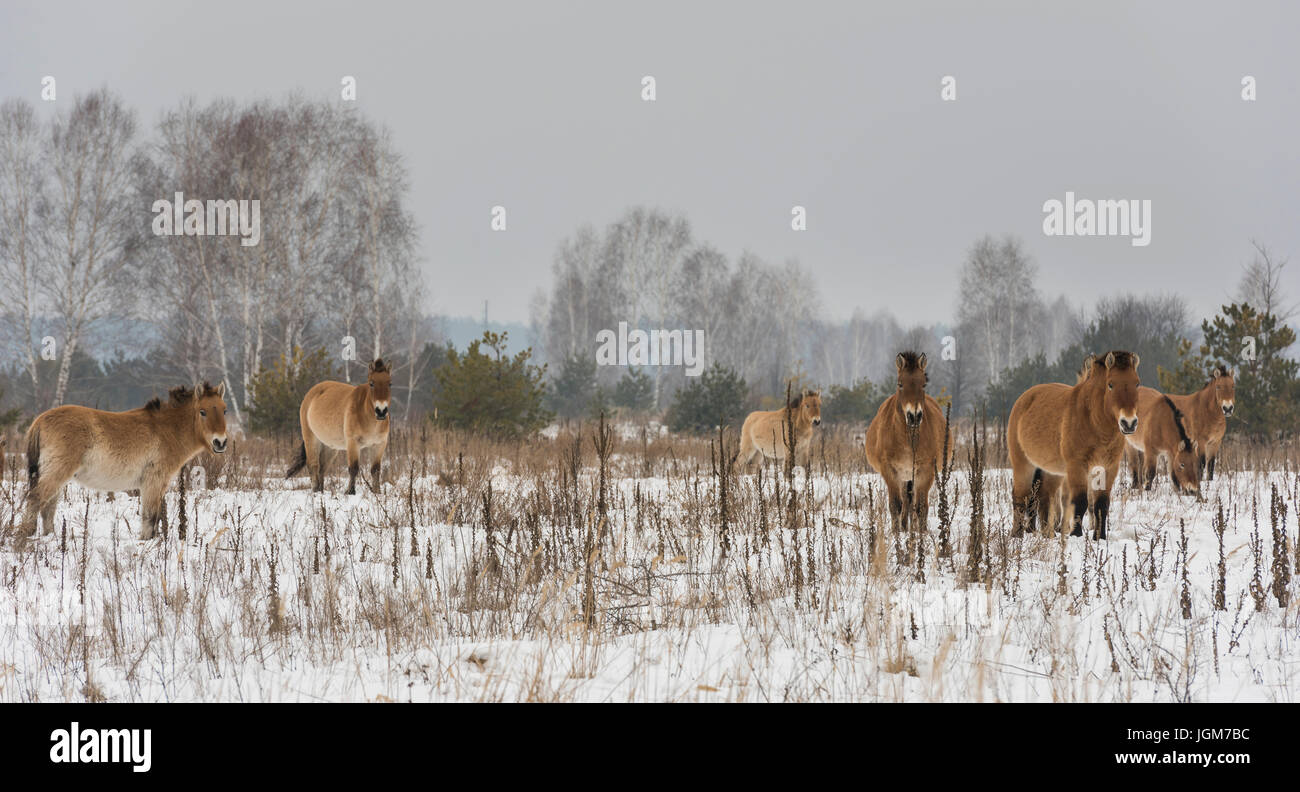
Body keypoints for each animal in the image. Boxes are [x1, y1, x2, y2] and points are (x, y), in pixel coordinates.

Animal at [18, 383, 228, 542]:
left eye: (224, 410)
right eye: (202, 412)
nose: (220, 442)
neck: (167, 430)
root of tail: (40, 419)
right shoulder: (153, 482)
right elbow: (150, 518)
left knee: (47, 508)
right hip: (57, 473)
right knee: (35, 498)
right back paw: (25, 534)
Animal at [285, 358, 392, 494]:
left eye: (390, 384)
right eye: (371, 383)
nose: (381, 411)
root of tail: (310, 393)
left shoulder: (379, 445)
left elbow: (375, 470)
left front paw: (377, 492)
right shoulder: (353, 443)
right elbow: (353, 468)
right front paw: (350, 492)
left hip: (329, 447)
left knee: (322, 468)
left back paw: (321, 491)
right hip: (311, 438)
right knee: (313, 465)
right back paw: (315, 491)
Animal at [865, 352, 952, 532]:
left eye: (923, 384)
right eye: (900, 384)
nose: (914, 416)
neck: (906, 438)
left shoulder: (926, 471)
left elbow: (921, 507)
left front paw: (922, 534)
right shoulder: (890, 471)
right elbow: (895, 505)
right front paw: (896, 533)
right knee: (905, 500)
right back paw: (905, 527)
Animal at [1006, 351, 1140, 539]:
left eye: (1137, 383)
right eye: (1111, 384)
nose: (1129, 423)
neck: (1094, 421)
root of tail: (1024, 398)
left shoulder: (1109, 468)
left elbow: (1101, 505)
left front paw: (1099, 538)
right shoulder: (1078, 466)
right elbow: (1080, 501)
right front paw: (1076, 534)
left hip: (1052, 471)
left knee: (1044, 497)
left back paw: (1047, 535)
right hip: (1023, 464)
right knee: (1021, 497)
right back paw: (1017, 535)